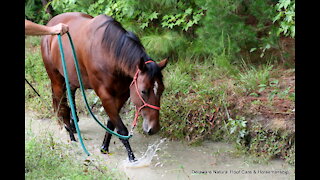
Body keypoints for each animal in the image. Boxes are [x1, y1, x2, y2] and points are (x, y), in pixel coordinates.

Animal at [40, 12, 168, 162]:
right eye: (143, 91)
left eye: (162, 90)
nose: (154, 128)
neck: (110, 54)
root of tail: (50, 25)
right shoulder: (105, 95)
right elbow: (121, 129)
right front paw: (131, 158)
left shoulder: (122, 94)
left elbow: (111, 123)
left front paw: (104, 147)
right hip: (57, 80)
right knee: (62, 105)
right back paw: (71, 135)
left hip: (72, 78)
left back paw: (73, 124)